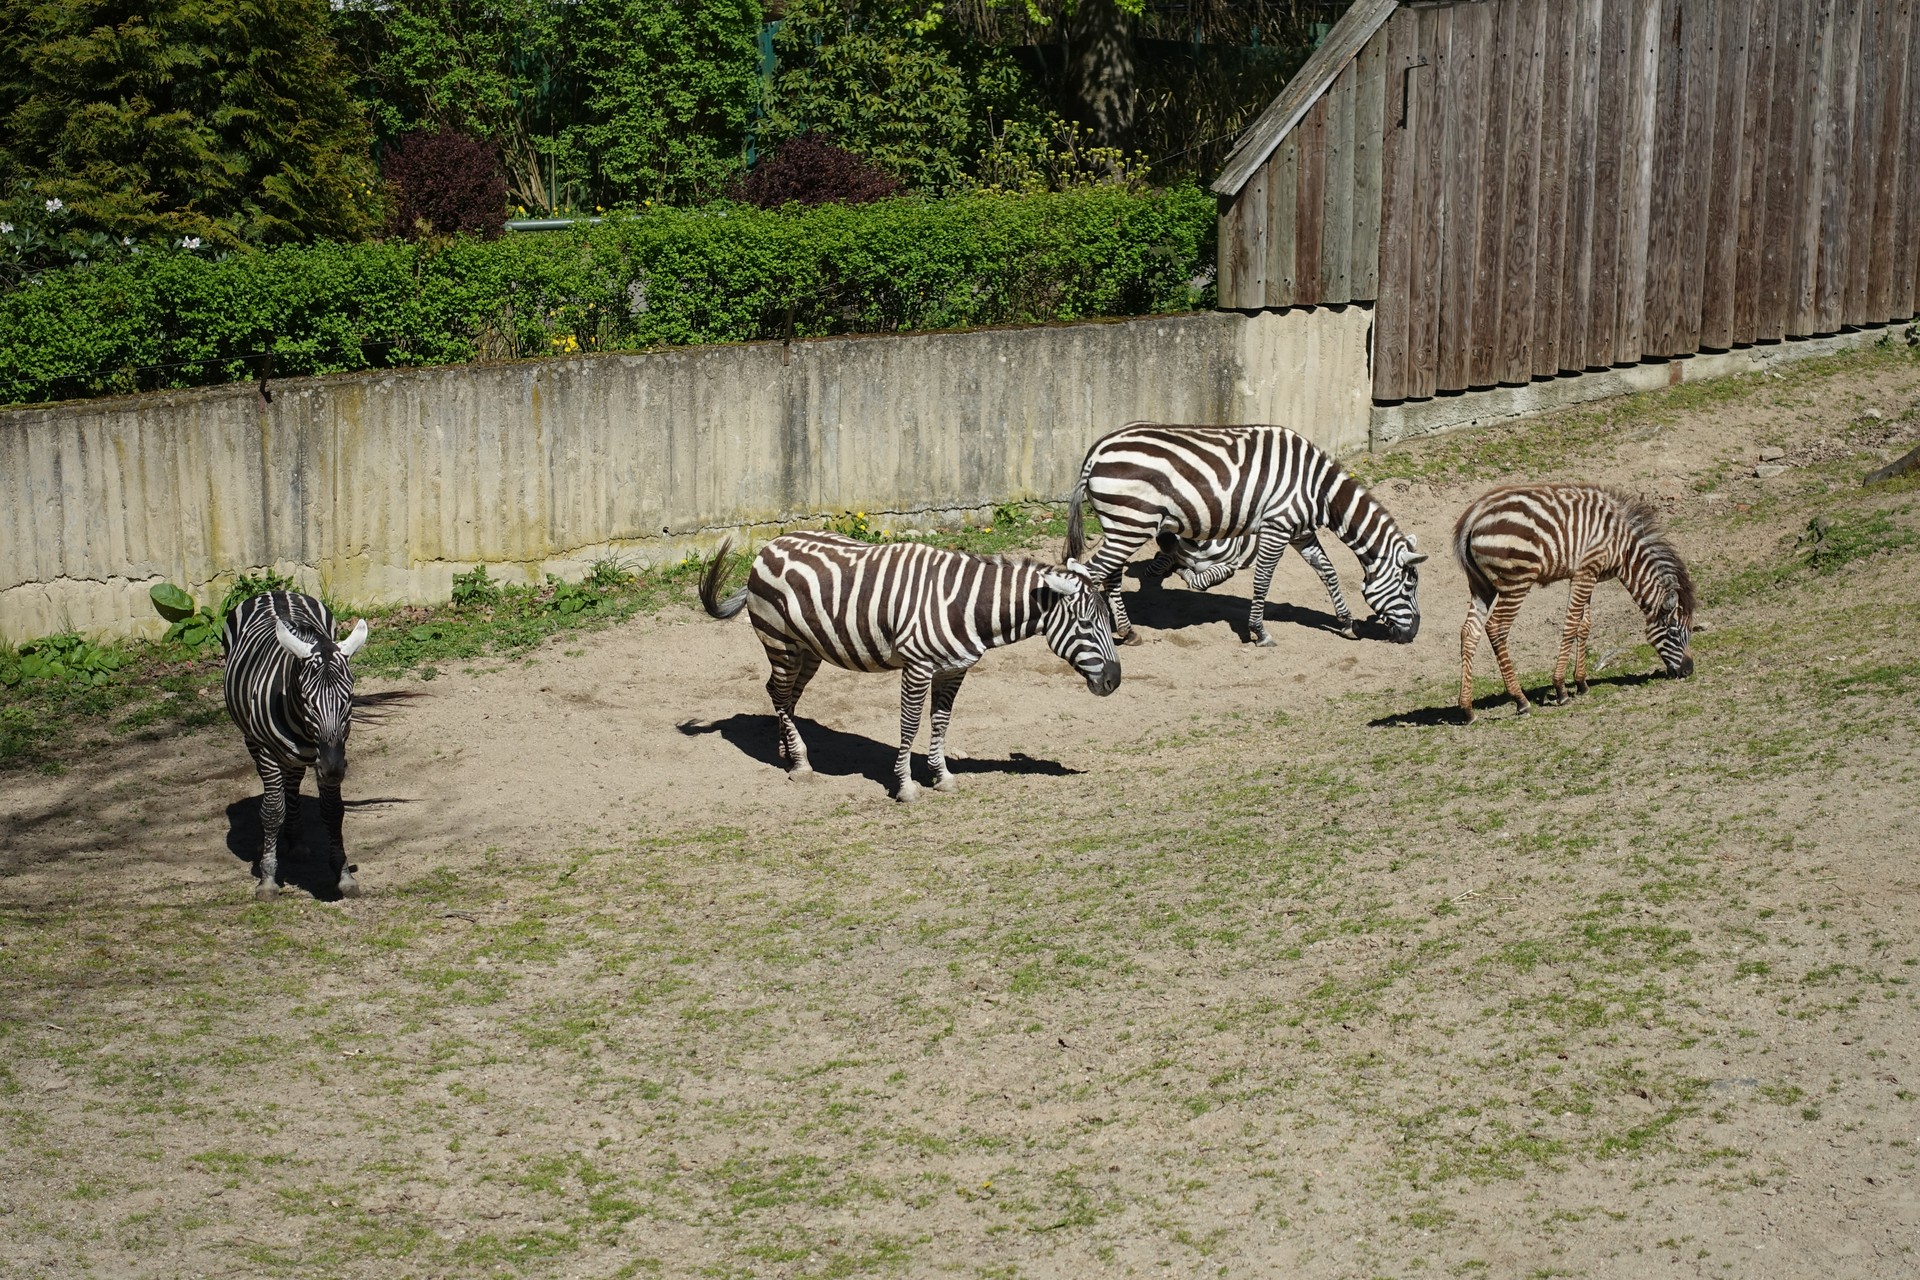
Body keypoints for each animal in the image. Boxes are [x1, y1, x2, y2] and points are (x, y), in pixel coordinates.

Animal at [222, 591, 369, 900]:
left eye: (349, 699)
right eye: (307, 700)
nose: (333, 770)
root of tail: (275, 592)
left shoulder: (331, 752)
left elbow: (333, 812)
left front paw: (343, 874)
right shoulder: (269, 752)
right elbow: (272, 811)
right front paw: (267, 878)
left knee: (292, 781)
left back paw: (295, 839)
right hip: (252, 739)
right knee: (272, 791)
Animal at [701, 531, 1120, 802]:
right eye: (1087, 623)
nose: (1114, 681)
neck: (968, 606)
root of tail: (770, 546)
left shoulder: (954, 669)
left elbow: (940, 721)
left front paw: (942, 776)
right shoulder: (917, 666)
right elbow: (910, 723)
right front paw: (905, 786)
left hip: (810, 649)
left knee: (782, 694)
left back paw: (787, 753)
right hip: (781, 643)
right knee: (779, 691)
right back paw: (801, 764)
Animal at [1149, 529, 1358, 638]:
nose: (1162, 539)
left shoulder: (1228, 565)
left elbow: (1198, 580)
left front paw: (1184, 571)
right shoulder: (1170, 554)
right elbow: (1156, 566)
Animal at [1453, 485, 1696, 723]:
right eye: (1674, 632)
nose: (1689, 671)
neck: (1625, 548)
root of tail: (1473, 516)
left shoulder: (1590, 575)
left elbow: (1584, 626)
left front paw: (1581, 682)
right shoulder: (1585, 572)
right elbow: (1571, 625)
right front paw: (1560, 688)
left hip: (1481, 586)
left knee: (1469, 632)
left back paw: (1467, 709)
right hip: (1516, 581)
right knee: (1497, 628)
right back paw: (1520, 700)